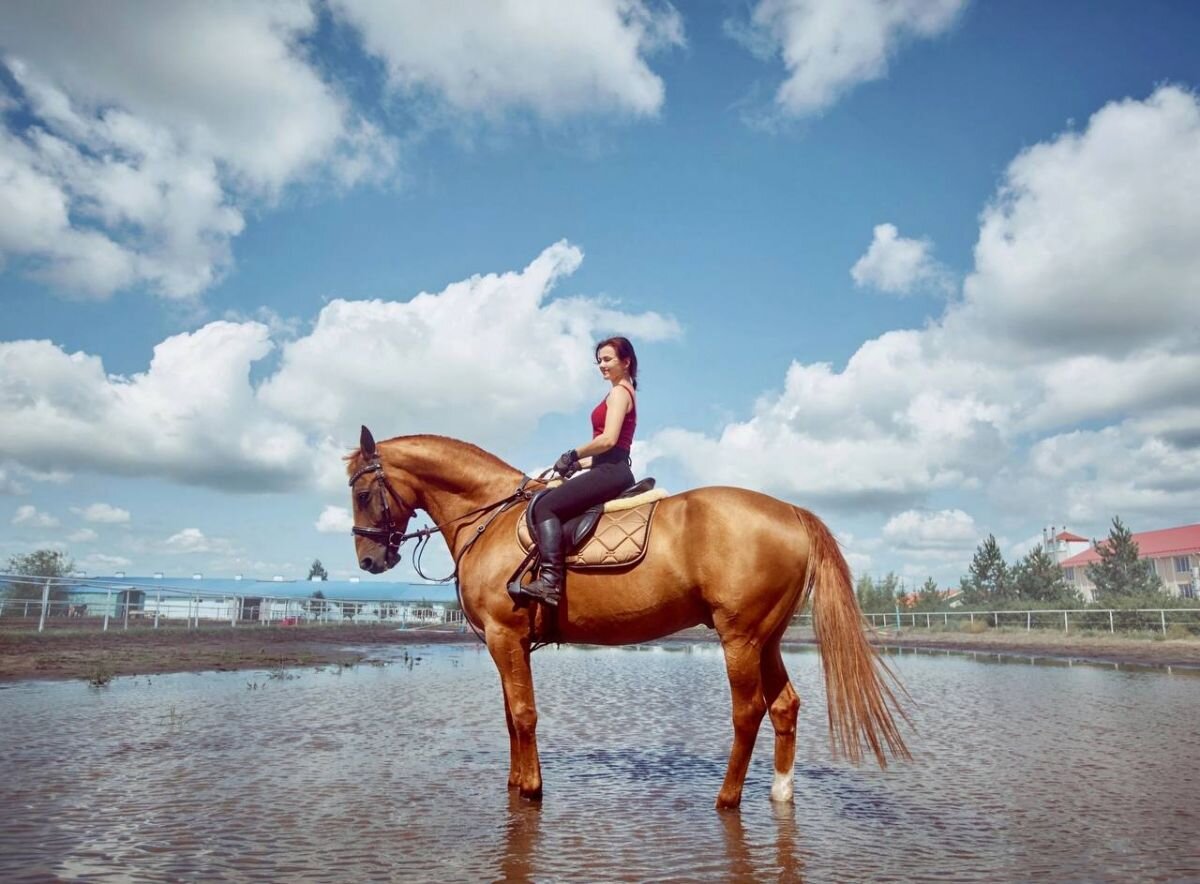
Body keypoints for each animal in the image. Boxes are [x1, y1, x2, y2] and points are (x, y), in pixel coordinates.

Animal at [348, 427, 907, 806]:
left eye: (361, 493)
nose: (370, 561)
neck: (491, 517)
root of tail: (791, 510)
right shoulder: (506, 644)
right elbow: (511, 716)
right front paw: (515, 782)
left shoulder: (506, 637)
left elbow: (524, 714)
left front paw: (531, 789)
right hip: (767, 638)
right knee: (785, 706)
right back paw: (780, 792)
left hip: (741, 638)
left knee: (748, 713)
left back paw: (727, 799)